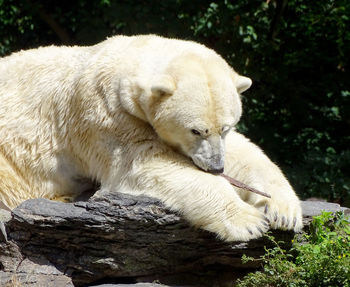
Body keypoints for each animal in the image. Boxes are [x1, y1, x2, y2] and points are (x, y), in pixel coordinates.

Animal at [0, 35, 300, 242]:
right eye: (195, 130)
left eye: (225, 127)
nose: (216, 167)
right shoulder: (105, 117)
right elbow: (147, 162)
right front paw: (248, 220)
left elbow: (243, 151)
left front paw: (282, 210)